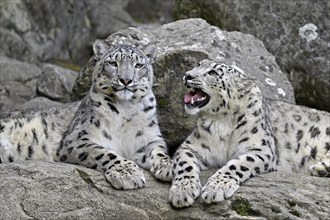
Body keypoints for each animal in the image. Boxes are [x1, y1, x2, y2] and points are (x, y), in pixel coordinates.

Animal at [0, 39, 173, 189]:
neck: (126, 109)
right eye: (112, 63)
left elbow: (159, 151)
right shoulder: (77, 139)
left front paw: (170, 166)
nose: (126, 80)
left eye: (139, 65)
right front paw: (127, 173)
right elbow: (104, 153)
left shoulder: (148, 139)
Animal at [169, 58, 330, 208]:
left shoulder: (261, 149)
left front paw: (216, 188)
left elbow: (238, 164)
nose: (187, 75)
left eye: (213, 73)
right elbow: (184, 163)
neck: (221, 121)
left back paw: (320, 169)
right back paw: (322, 170)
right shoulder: (190, 146)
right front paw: (182, 191)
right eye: (198, 64)